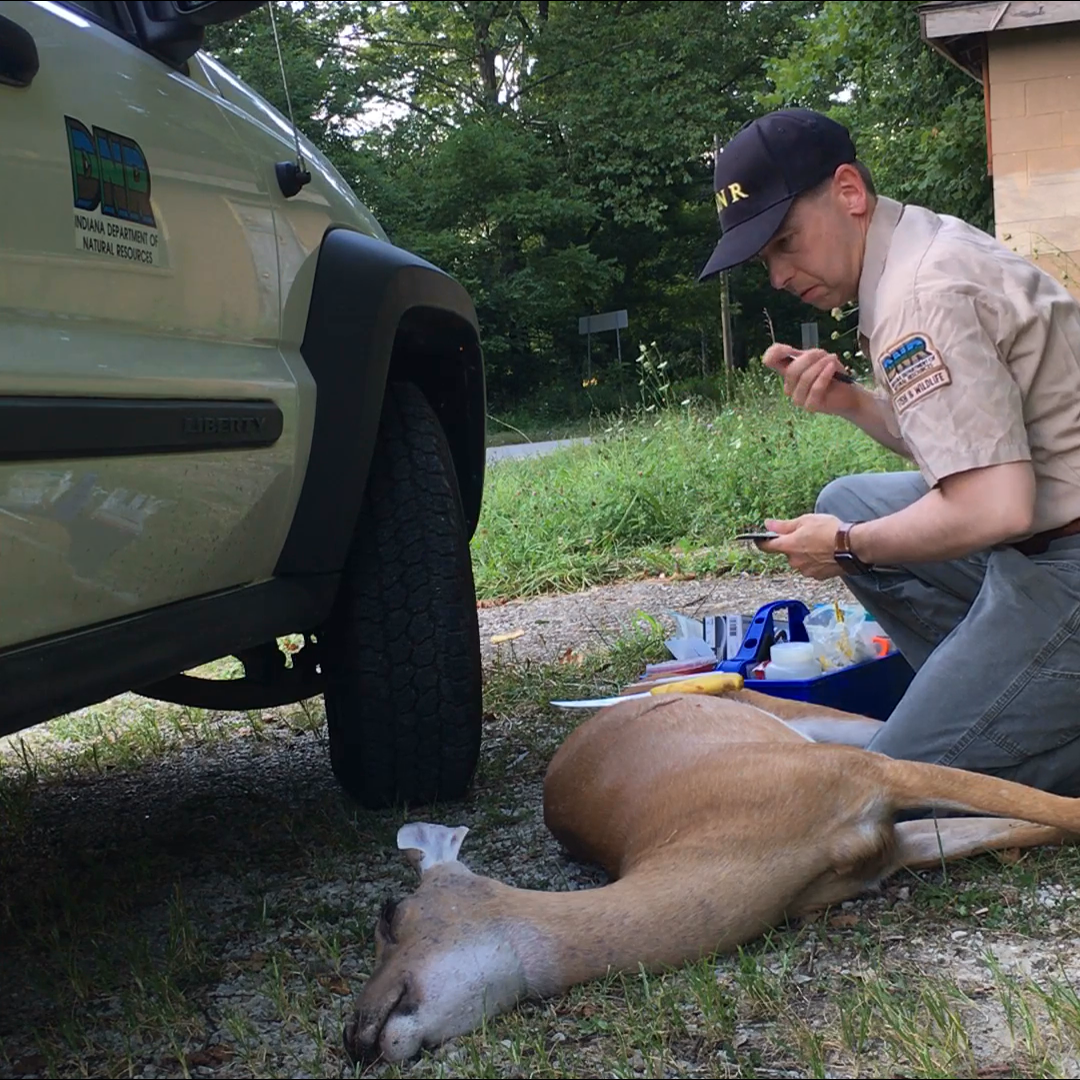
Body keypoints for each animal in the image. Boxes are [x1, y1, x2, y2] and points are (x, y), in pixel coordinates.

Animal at [341, 691, 1075, 1062]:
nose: (353, 1038)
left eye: (388, 914)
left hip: (848, 732)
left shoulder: (872, 773)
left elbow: (1053, 806)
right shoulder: (886, 848)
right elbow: (1033, 823)